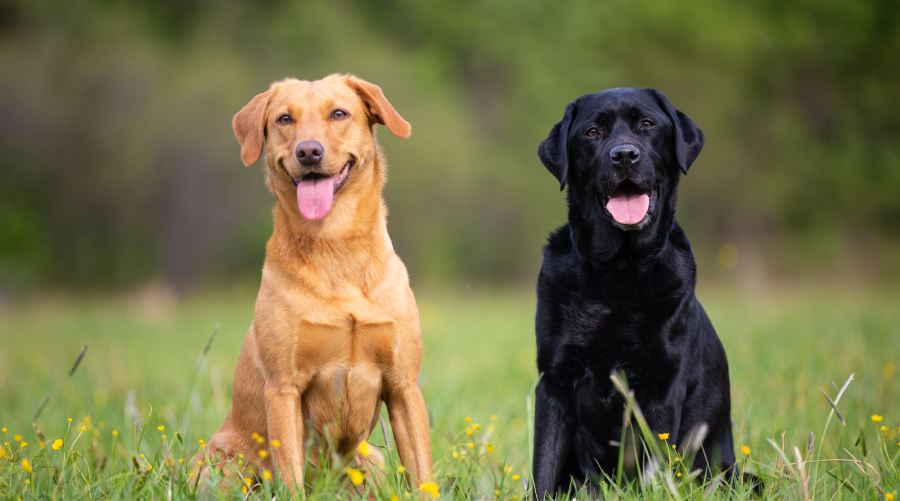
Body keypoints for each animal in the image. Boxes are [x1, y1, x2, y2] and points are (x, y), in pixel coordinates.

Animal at [207, 73, 432, 488]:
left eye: (339, 113)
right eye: (284, 119)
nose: (308, 151)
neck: (336, 245)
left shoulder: (403, 386)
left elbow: (423, 472)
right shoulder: (284, 387)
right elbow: (291, 476)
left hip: (371, 460)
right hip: (223, 460)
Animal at [532, 88, 736, 494]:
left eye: (647, 124)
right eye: (592, 132)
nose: (624, 154)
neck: (617, 274)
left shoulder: (661, 388)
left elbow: (652, 467)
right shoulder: (554, 383)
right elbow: (543, 469)